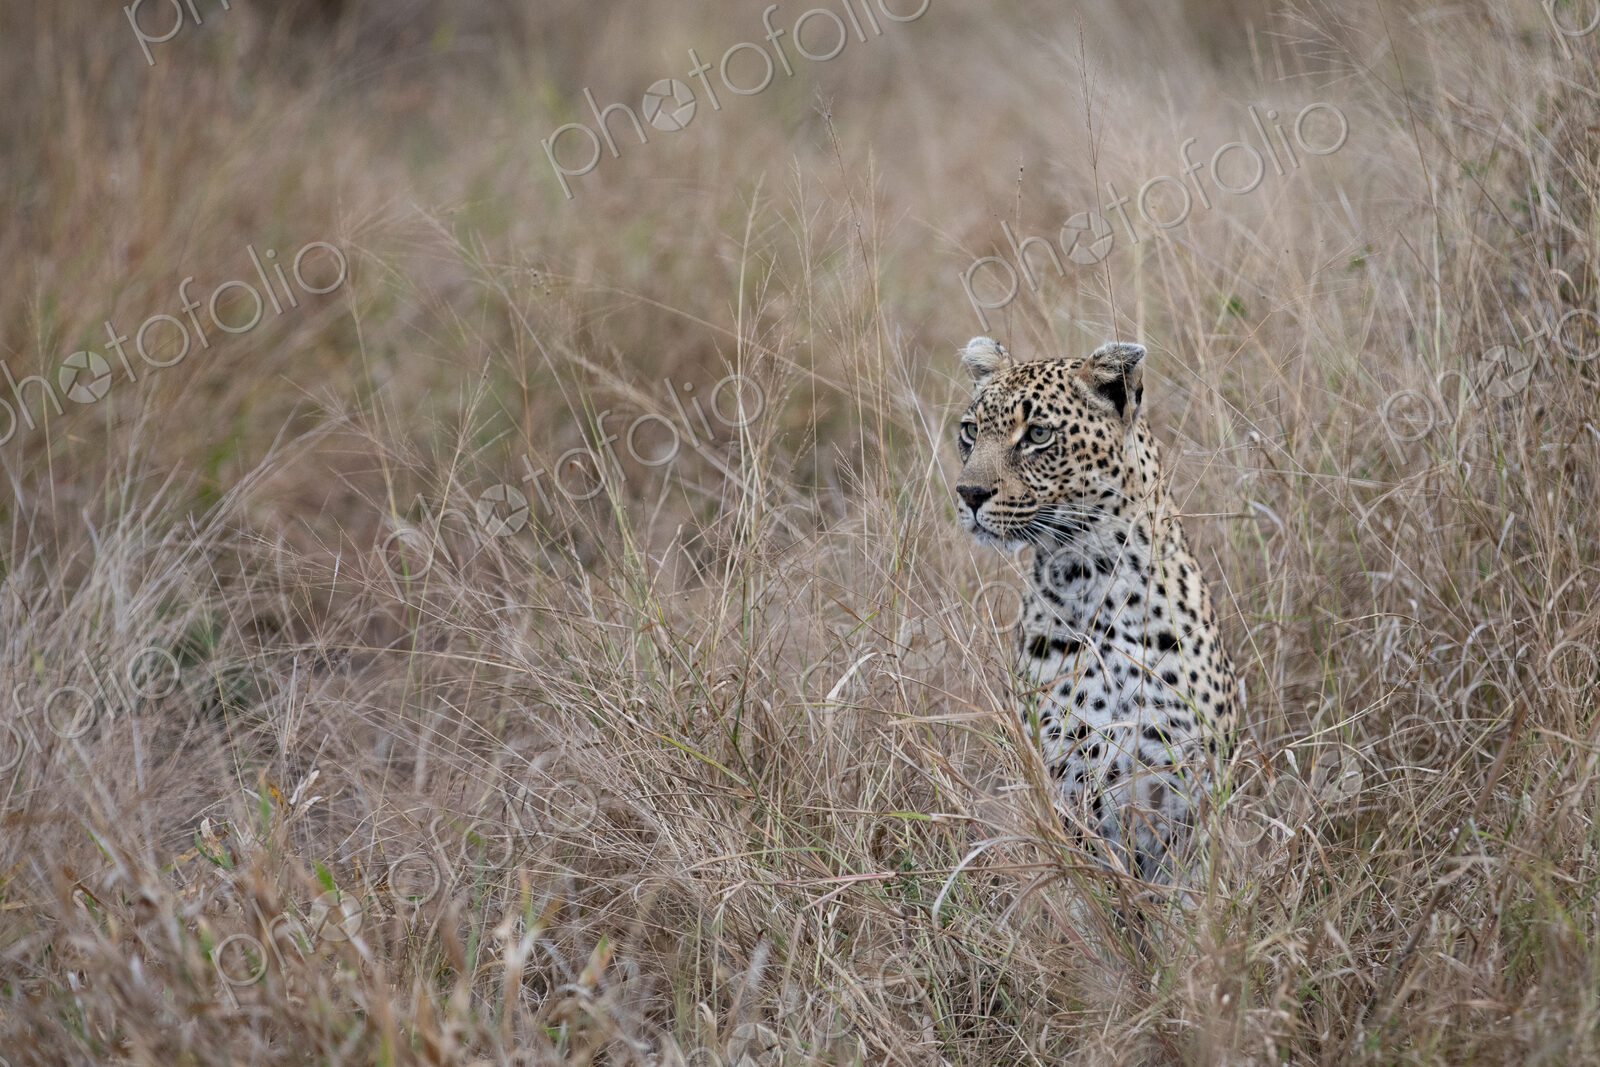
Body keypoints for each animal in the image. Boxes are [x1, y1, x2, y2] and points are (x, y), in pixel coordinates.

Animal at [952, 336, 1243, 884]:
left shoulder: (1190, 799)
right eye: (970, 431)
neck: (1096, 578)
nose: (969, 494)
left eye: (1038, 434)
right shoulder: (1070, 783)